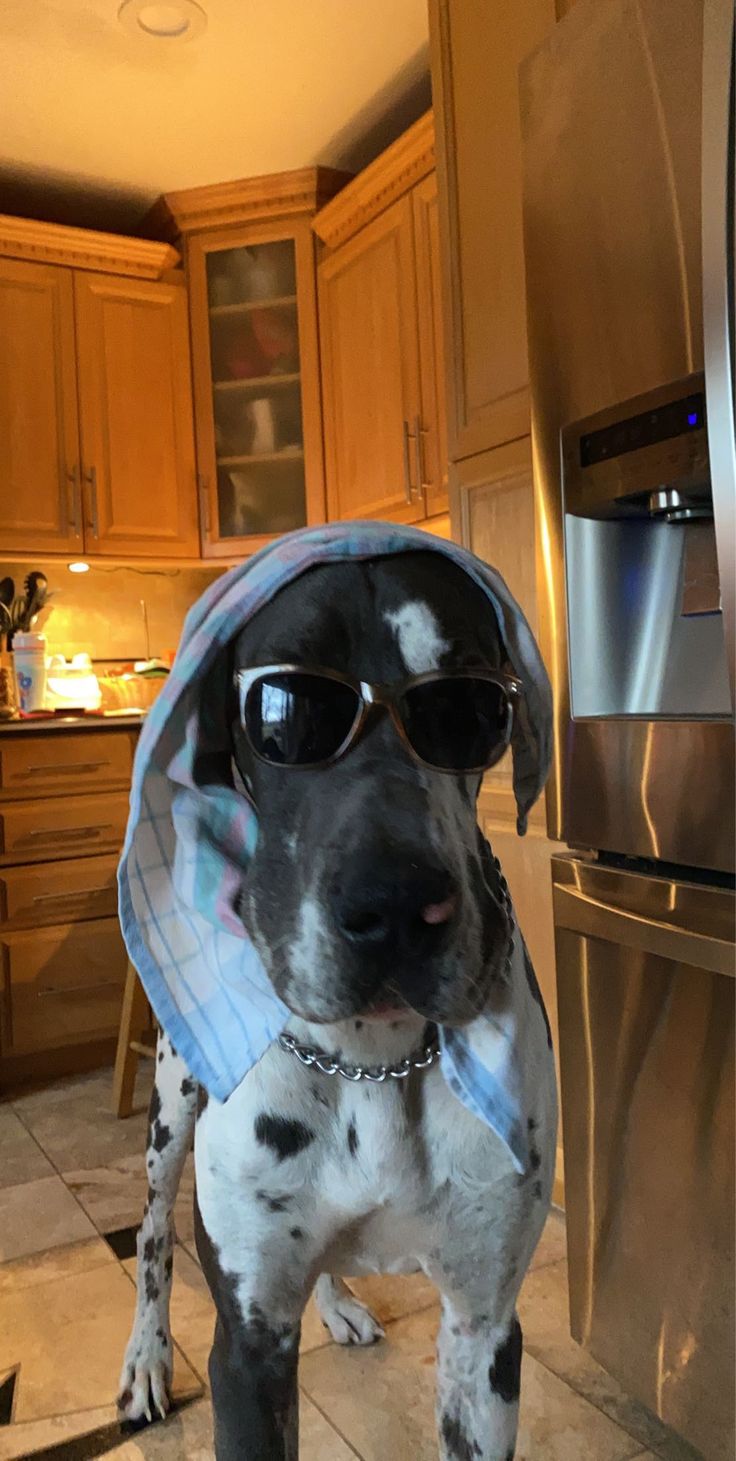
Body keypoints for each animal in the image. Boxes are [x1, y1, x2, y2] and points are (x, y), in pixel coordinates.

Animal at [119, 549, 557, 1461]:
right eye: (285, 708)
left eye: (470, 703)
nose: (394, 907)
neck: (371, 1053)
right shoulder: (247, 1345)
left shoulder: (485, 1330)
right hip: (171, 1105)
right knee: (149, 1231)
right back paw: (146, 1356)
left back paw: (339, 1303)